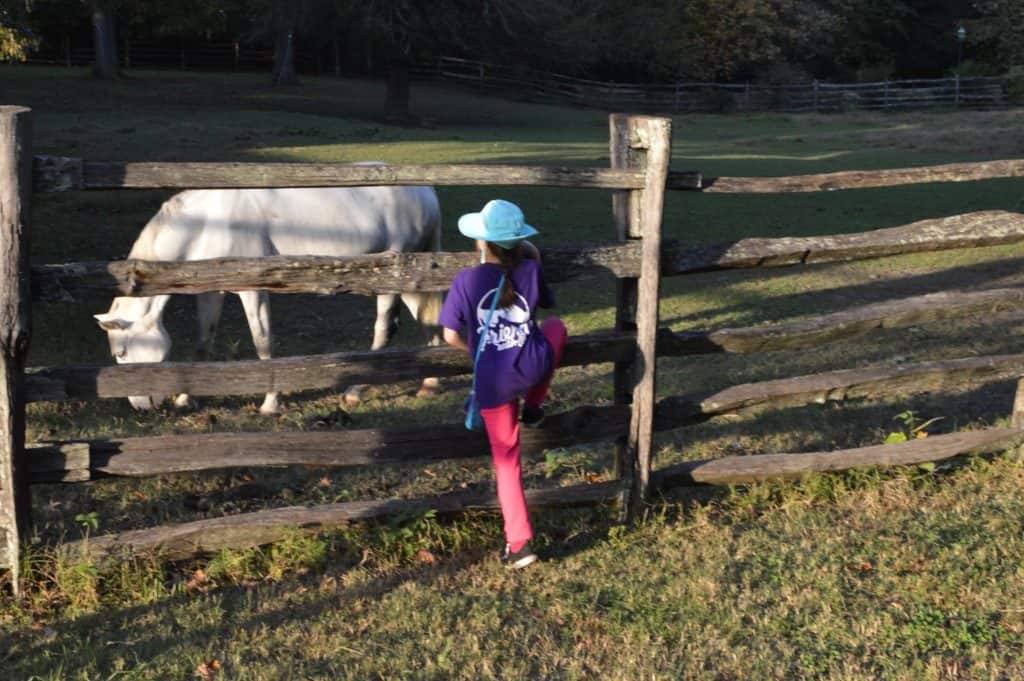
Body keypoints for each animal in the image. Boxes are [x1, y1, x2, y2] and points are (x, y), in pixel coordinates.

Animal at [96, 182, 444, 413]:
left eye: (122, 352)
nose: (141, 407)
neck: (208, 221)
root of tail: (426, 193)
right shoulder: (211, 292)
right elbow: (204, 341)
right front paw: (186, 398)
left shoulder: (253, 291)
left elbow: (263, 343)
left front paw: (270, 403)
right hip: (410, 280)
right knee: (429, 323)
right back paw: (429, 385)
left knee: (385, 330)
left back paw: (355, 392)